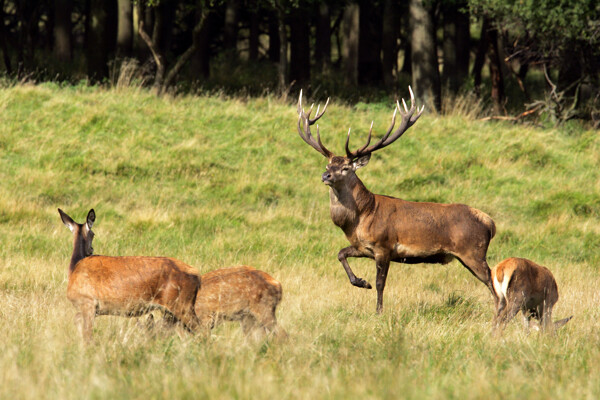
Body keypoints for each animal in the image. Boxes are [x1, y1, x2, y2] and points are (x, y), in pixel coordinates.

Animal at [60, 208, 202, 342]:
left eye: (93, 234)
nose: (91, 250)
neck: (74, 269)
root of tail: (197, 275)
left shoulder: (87, 302)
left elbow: (87, 335)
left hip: (181, 304)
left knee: (201, 329)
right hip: (171, 311)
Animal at [296, 87, 496, 312]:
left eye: (346, 168)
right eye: (328, 165)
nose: (326, 175)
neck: (360, 218)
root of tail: (490, 223)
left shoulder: (384, 246)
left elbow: (380, 283)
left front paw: (378, 311)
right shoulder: (363, 247)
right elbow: (341, 254)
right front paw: (361, 282)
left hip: (473, 251)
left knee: (494, 281)